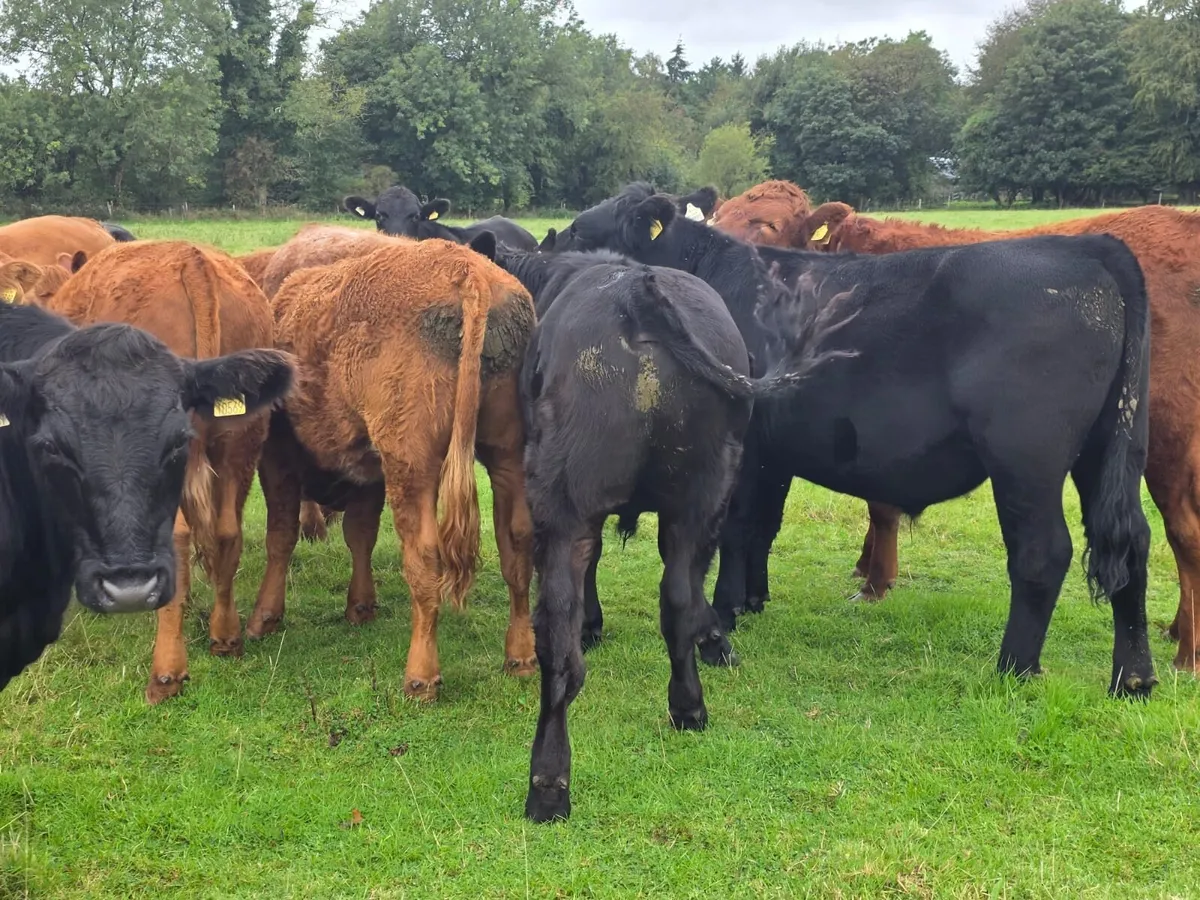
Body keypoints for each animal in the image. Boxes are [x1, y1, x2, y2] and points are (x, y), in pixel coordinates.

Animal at [247, 236, 537, 699]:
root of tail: (468, 270)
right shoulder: (368, 469)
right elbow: (360, 535)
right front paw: (361, 606)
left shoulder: (278, 457)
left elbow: (281, 536)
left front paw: (265, 618)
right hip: (506, 455)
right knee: (517, 546)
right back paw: (521, 658)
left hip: (412, 465)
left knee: (424, 558)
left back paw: (420, 678)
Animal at [495, 246, 859, 821]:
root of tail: (635, 290)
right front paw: (717, 642)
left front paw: (597, 625)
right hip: (700, 491)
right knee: (673, 600)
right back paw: (676, 713)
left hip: (569, 504)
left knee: (569, 628)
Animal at [547, 183, 1157, 702]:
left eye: (579, 230)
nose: (551, 252)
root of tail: (1088, 247)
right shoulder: (773, 453)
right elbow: (760, 528)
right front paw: (751, 600)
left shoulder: (740, 447)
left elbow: (733, 530)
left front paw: (723, 615)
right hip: (1107, 450)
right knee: (1132, 541)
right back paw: (1133, 678)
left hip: (1025, 458)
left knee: (1042, 552)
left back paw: (1014, 667)